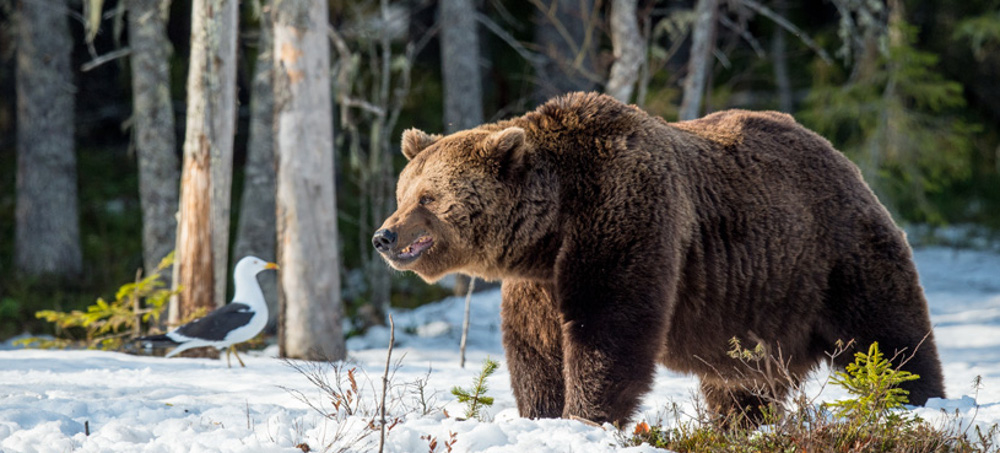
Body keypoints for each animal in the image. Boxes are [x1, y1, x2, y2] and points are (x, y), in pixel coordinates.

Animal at [374, 91, 944, 424]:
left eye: (428, 198)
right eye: (402, 193)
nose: (383, 235)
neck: (552, 225)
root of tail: (841, 158)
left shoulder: (625, 218)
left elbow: (608, 327)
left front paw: (586, 416)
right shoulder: (538, 280)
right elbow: (535, 348)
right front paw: (543, 414)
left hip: (835, 256)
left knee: (889, 336)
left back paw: (916, 402)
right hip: (759, 307)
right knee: (743, 382)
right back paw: (741, 424)